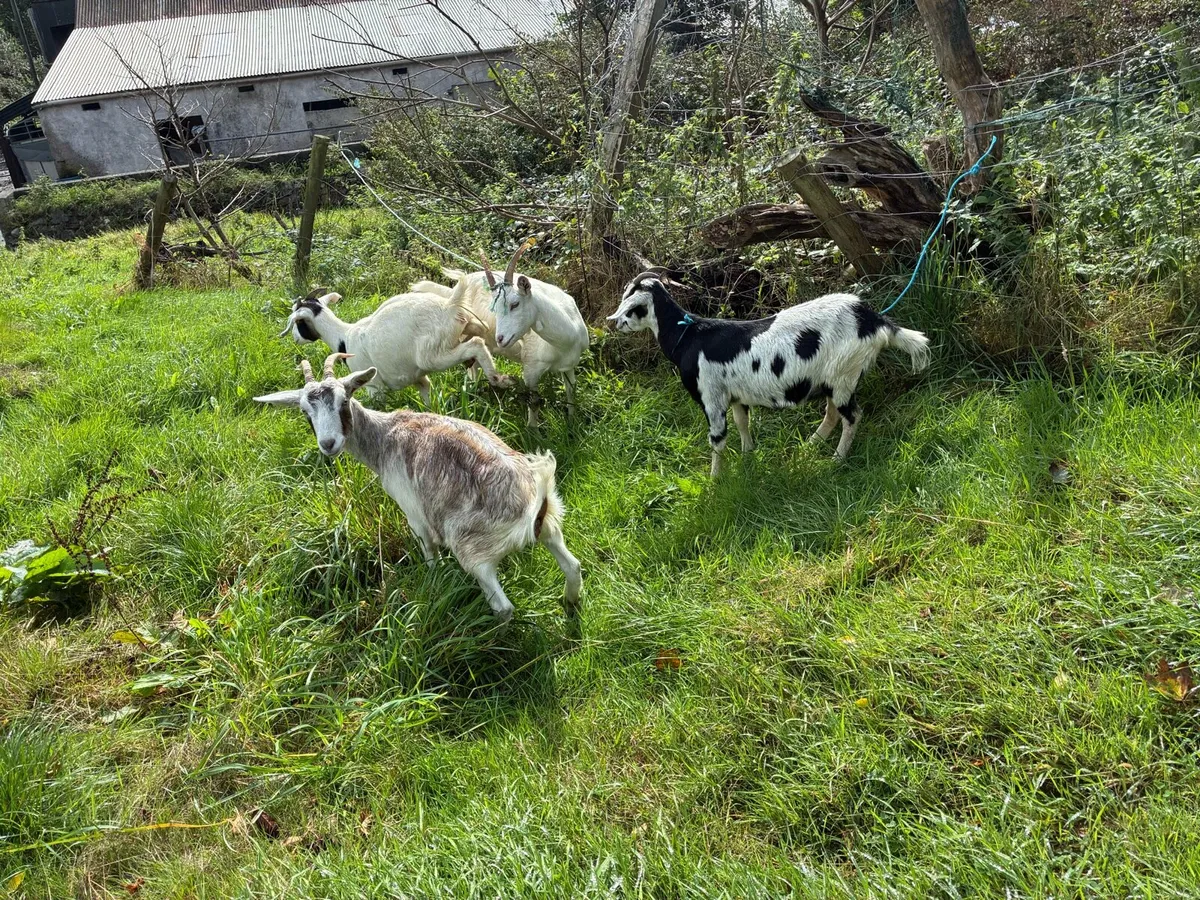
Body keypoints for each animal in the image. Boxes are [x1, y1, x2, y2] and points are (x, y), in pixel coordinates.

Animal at [255, 352, 582, 625]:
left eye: (343, 401)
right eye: (304, 411)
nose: (328, 444)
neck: (385, 437)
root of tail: (533, 498)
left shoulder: (415, 513)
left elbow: (430, 554)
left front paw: (434, 582)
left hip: (475, 552)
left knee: (503, 607)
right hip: (551, 528)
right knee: (573, 567)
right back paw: (570, 605)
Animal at [278, 289, 511, 407]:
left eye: (297, 323)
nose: (296, 339)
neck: (344, 336)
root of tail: (449, 306)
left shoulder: (374, 387)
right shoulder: (417, 377)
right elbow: (428, 395)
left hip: (433, 354)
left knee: (476, 345)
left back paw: (497, 379)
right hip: (470, 326)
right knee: (480, 338)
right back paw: (475, 383)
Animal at [408, 240, 589, 426]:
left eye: (515, 304)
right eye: (493, 309)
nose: (500, 339)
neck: (565, 341)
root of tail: (452, 293)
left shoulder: (569, 364)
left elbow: (571, 392)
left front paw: (572, 421)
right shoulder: (531, 369)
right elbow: (534, 402)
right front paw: (533, 431)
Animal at [606, 274, 930, 475]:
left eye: (632, 307)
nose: (614, 323)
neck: (688, 337)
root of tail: (875, 321)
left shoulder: (712, 399)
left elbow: (717, 439)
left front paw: (715, 481)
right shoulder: (735, 397)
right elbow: (742, 423)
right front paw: (748, 457)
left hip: (844, 374)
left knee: (852, 416)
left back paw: (836, 460)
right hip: (834, 377)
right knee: (833, 414)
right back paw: (811, 445)